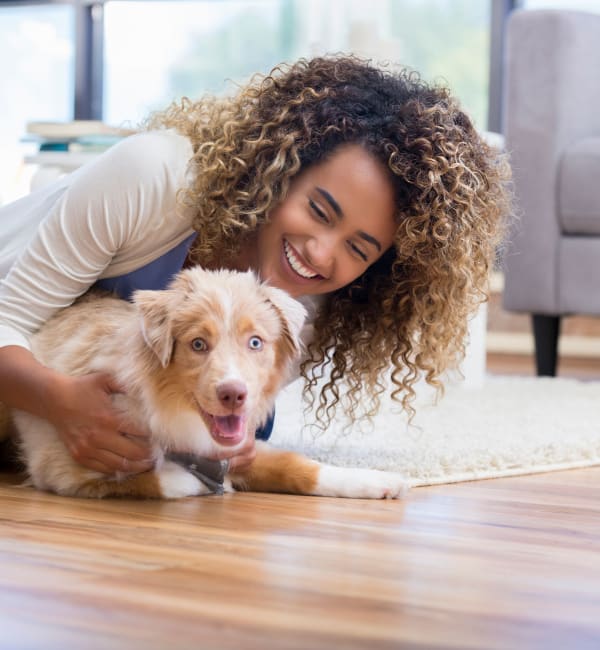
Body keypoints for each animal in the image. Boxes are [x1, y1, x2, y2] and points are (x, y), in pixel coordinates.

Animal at [3, 266, 408, 498]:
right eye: (198, 344)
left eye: (255, 342)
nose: (233, 394)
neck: (170, 406)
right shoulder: (63, 467)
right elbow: (159, 480)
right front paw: (202, 482)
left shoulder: (240, 448)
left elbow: (300, 466)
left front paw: (379, 481)